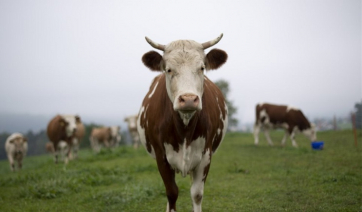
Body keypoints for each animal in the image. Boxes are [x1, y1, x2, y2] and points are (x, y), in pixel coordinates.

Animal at [137, 34, 228, 211]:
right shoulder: (161, 157)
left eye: (202, 68)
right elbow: (172, 193)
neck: (184, 129)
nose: (188, 99)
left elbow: (197, 194)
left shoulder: (205, 156)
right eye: (168, 69)